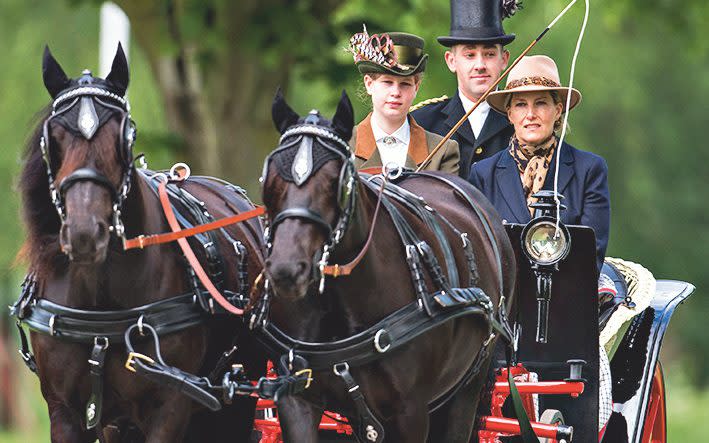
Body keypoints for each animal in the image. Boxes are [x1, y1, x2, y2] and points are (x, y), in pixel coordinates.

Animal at [15, 44, 266, 440]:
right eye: (52, 137)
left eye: (125, 135)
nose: (85, 232)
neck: (101, 312)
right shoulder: (66, 412)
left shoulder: (170, 408)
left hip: (235, 401)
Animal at [254, 92, 516, 442]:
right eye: (268, 181)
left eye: (337, 182)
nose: (286, 268)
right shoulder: (298, 400)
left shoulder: (410, 411)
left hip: (469, 382)